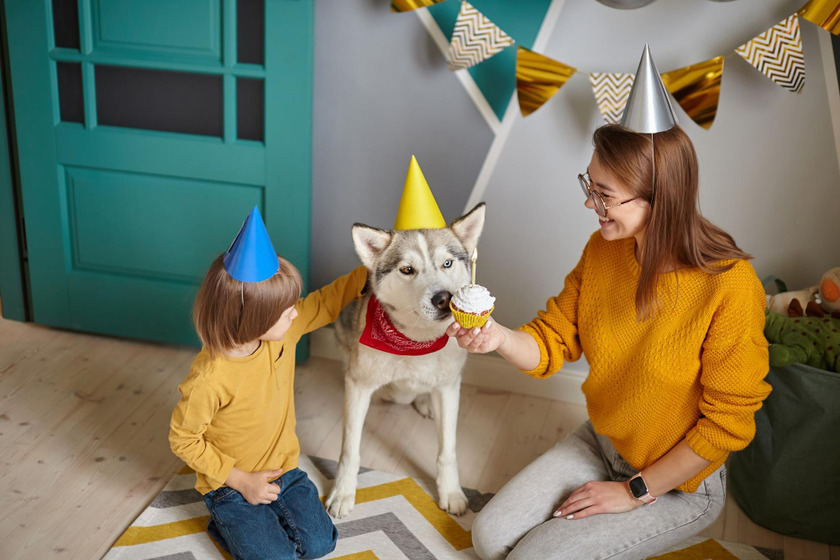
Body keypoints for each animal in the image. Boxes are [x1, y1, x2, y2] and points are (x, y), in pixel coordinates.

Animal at [324, 203, 488, 520]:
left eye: (447, 263)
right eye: (407, 270)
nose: (443, 298)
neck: (416, 342)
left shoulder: (449, 388)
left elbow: (447, 451)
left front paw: (451, 493)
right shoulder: (359, 385)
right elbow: (350, 450)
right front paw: (343, 493)